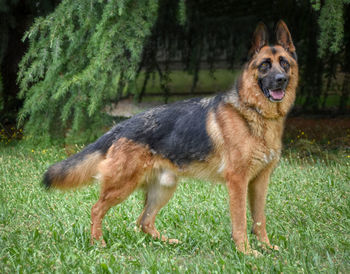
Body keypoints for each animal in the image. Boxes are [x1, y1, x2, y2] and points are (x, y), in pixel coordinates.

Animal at [42, 20, 296, 256]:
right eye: (264, 65)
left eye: (284, 63)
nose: (281, 79)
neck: (255, 113)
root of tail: (121, 126)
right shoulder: (238, 181)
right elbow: (241, 222)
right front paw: (245, 252)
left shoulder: (260, 181)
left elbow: (260, 220)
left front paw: (266, 246)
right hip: (123, 186)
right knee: (97, 209)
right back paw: (98, 243)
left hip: (163, 188)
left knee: (143, 221)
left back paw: (167, 242)